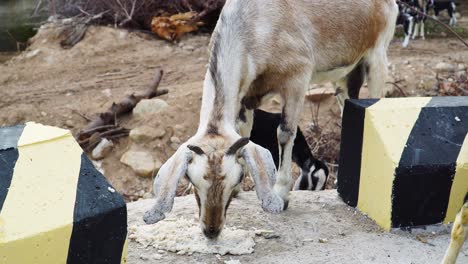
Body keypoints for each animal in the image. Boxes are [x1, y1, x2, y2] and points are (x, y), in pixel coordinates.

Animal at [144, 0, 398, 239]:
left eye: (233, 180)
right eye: (194, 182)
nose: (211, 231)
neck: (255, 23)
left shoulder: (298, 77)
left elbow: (285, 132)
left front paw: (281, 194)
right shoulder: (246, 95)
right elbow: (244, 132)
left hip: (376, 56)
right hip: (345, 76)